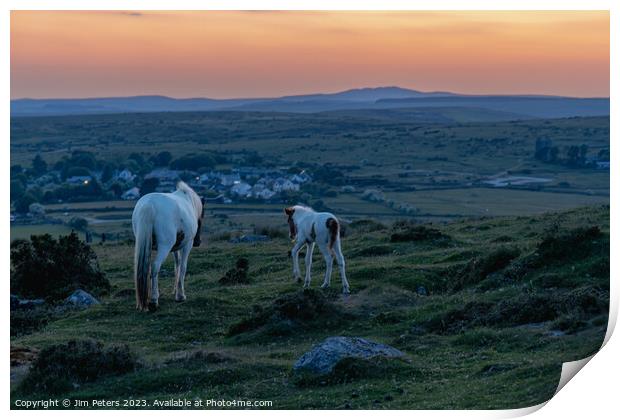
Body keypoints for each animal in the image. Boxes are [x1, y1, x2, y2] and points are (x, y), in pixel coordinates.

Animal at [131, 181, 203, 312]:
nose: (198, 242)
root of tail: (149, 204)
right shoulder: (187, 245)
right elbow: (183, 267)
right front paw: (180, 295)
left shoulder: (175, 247)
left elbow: (177, 265)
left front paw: (175, 290)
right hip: (165, 246)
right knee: (155, 266)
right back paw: (154, 300)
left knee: (148, 268)